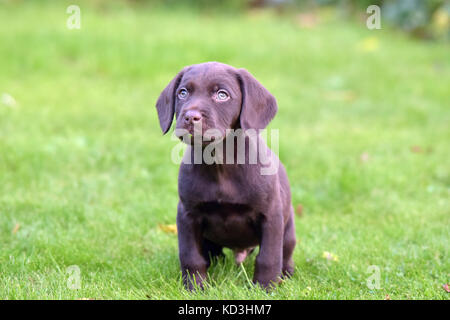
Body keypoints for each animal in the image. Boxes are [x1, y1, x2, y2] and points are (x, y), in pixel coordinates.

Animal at [156, 62, 296, 290]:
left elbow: (268, 257)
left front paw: (265, 288)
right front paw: (195, 287)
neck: (220, 164)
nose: (190, 116)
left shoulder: (271, 215)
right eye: (183, 93)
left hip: (288, 230)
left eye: (222, 95)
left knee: (286, 254)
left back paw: (287, 274)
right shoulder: (187, 214)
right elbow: (191, 257)